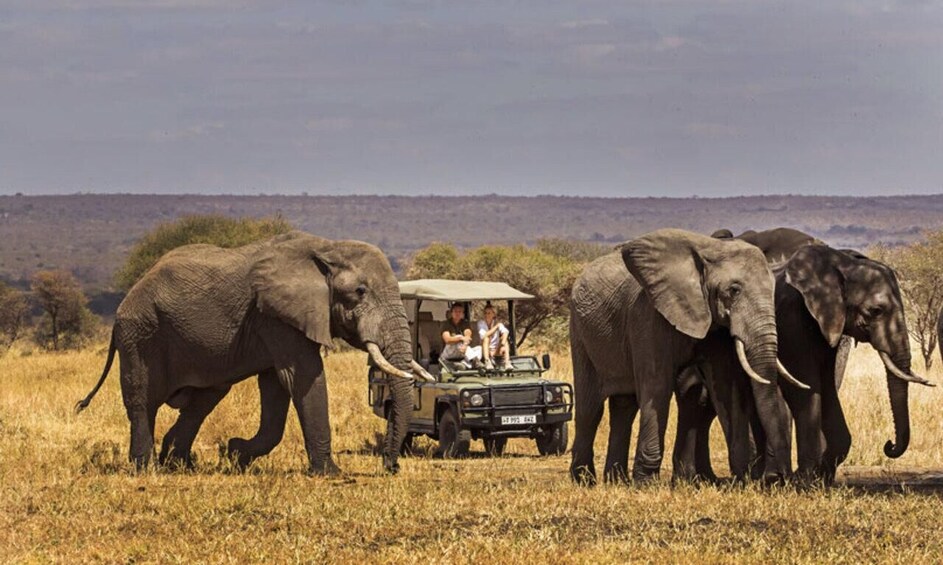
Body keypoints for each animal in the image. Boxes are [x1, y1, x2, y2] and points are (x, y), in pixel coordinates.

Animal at [75, 231, 432, 475]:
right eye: (359, 292)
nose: (390, 466)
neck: (327, 247)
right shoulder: (274, 315)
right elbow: (302, 376)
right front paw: (331, 474)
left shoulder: (275, 320)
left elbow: (276, 387)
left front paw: (235, 453)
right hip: (140, 334)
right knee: (142, 401)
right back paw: (146, 468)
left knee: (202, 401)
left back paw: (179, 465)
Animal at [568, 228, 800, 485]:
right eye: (734, 290)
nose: (777, 477)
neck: (710, 251)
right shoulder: (648, 316)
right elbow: (657, 386)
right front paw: (645, 484)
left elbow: (725, 387)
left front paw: (743, 479)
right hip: (579, 332)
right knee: (590, 408)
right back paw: (584, 480)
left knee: (624, 407)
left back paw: (616, 481)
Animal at [675, 230, 933, 484]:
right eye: (875, 311)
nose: (889, 445)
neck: (841, 264)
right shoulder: (792, 319)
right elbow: (805, 388)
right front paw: (804, 480)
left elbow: (827, 387)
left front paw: (821, 477)